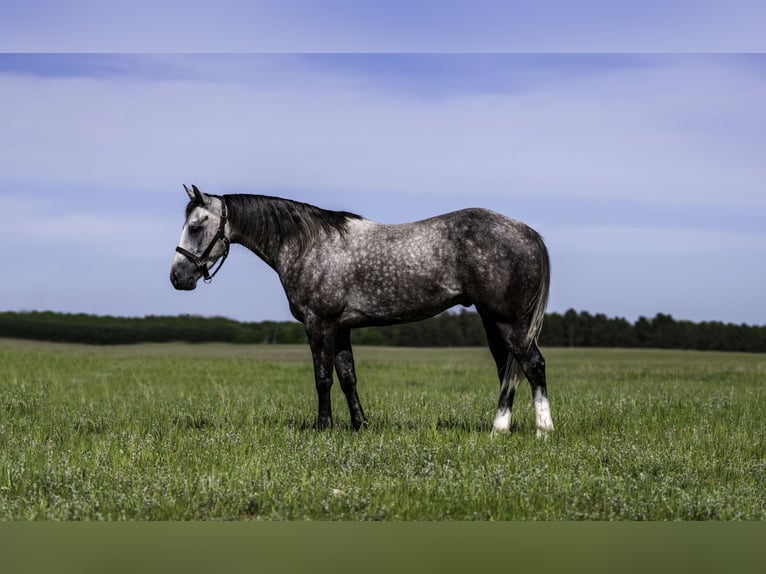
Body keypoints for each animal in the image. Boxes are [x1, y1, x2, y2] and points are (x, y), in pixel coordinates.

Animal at [170, 184, 553, 435]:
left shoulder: (319, 324)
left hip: (509, 322)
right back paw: (499, 428)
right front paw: (360, 425)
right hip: (493, 322)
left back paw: (542, 430)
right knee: (507, 368)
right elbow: (347, 377)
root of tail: (529, 234)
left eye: (196, 226)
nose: (177, 277)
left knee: (532, 364)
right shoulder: (341, 328)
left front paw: (323, 427)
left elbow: (322, 377)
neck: (309, 245)